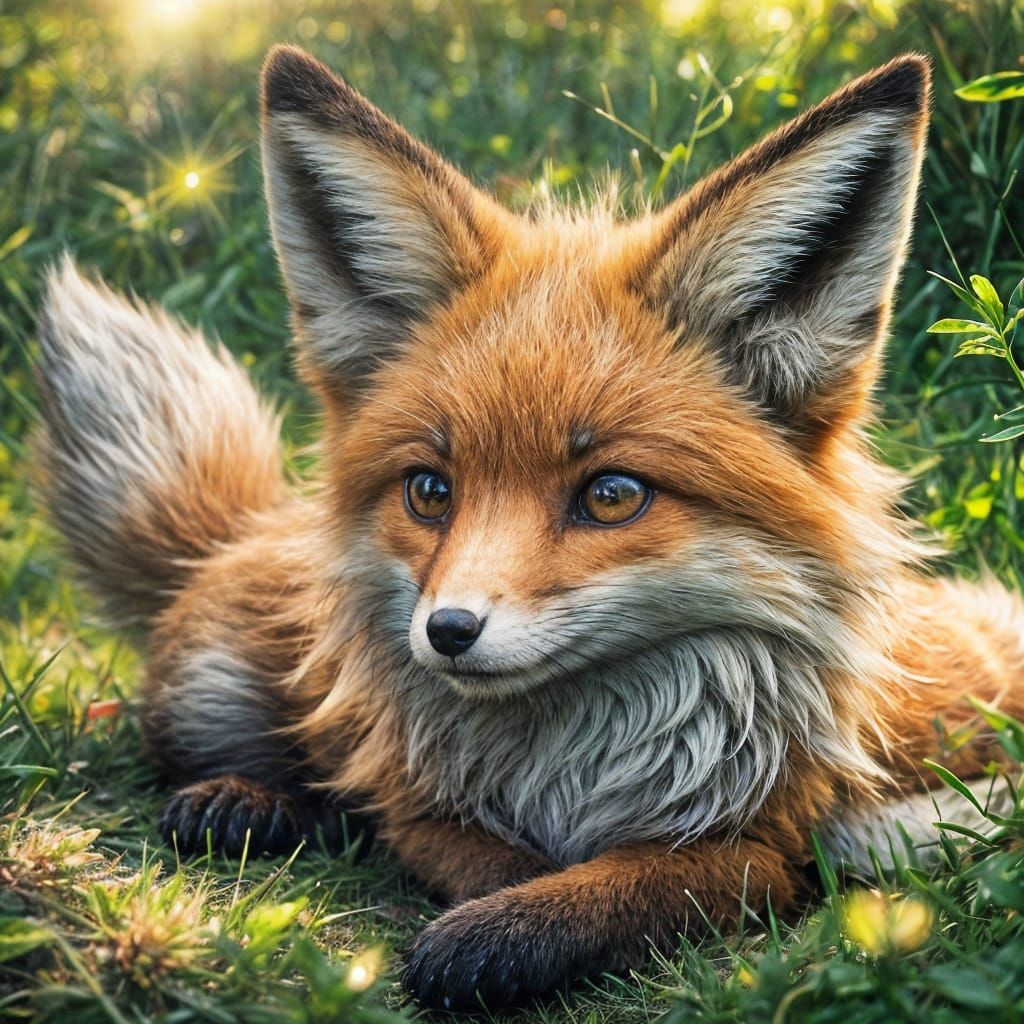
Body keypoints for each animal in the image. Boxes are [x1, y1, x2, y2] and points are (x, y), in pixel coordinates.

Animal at [33, 45, 1024, 1011]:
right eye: (429, 491)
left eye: (612, 494)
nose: (447, 631)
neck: (570, 766)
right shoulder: (420, 798)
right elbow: (458, 845)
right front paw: (500, 907)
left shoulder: (765, 837)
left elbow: (666, 875)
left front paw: (512, 934)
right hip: (206, 685)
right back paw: (247, 803)